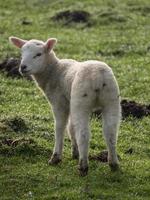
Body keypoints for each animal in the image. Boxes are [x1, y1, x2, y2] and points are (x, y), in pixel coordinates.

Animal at [9, 36, 120, 176]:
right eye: (21, 53)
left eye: (38, 54)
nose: (23, 67)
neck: (53, 71)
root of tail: (98, 76)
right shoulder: (69, 102)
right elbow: (71, 127)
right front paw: (75, 152)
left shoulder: (59, 103)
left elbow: (60, 127)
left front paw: (56, 157)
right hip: (111, 99)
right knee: (110, 132)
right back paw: (113, 163)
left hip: (81, 100)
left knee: (83, 134)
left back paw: (83, 166)